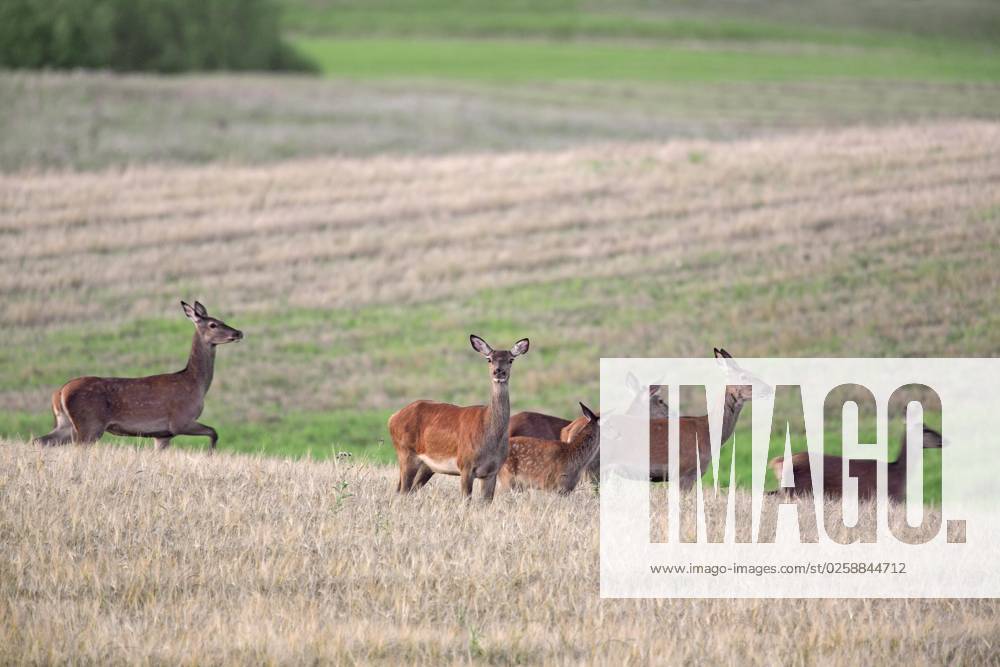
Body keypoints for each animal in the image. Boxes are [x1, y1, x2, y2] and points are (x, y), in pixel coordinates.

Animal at [34, 304, 243, 452]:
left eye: (221, 319)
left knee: (39, 440)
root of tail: (60, 392)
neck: (195, 384)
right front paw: (210, 454)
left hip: (66, 423)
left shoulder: (163, 435)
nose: (238, 332)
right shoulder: (180, 421)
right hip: (89, 424)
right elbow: (214, 432)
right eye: (213, 324)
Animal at [388, 334, 532, 500]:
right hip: (405, 452)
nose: (499, 372)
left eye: (511, 359)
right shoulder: (465, 465)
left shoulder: (491, 471)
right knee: (403, 490)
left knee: (407, 489)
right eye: (489, 359)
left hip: (426, 466)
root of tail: (392, 418)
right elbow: (466, 500)